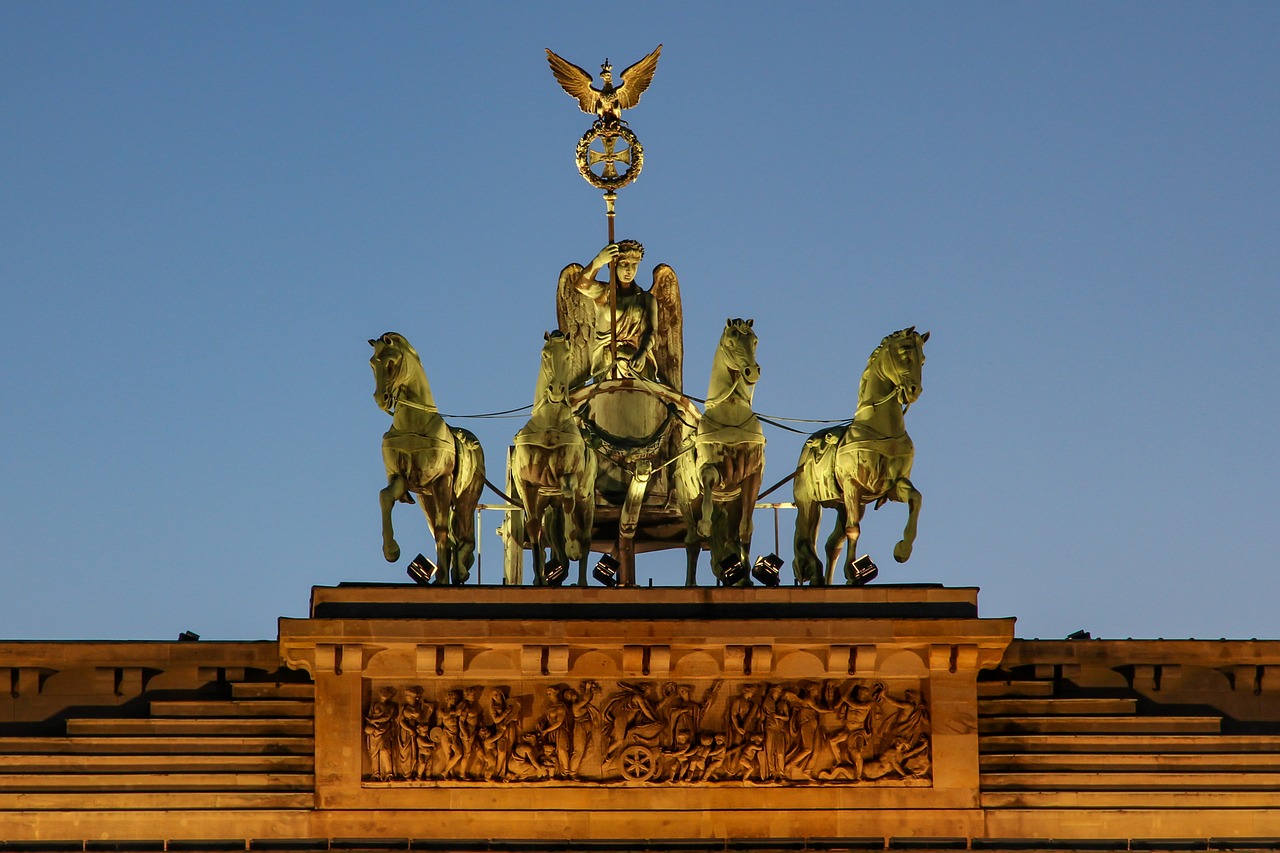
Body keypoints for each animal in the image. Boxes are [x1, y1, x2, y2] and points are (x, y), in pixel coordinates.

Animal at [373, 333, 488, 584]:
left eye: (391, 363)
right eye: (372, 363)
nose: (380, 399)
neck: (413, 424)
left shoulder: (442, 480)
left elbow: (443, 529)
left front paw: (443, 575)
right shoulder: (403, 479)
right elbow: (385, 497)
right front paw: (391, 551)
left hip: (466, 497)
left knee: (464, 534)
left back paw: (461, 569)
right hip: (426, 498)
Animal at [506, 330, 596, 584]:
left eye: (568, 355)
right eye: (545, 354)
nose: (556, 390)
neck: (549, 426)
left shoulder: (569, 476)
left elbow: (568, 491)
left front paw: (571, 543)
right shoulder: (528, 485)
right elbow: (534, 527)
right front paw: (539, 578)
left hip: (587, 500)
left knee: (585, 535)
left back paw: (581, 578)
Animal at [675, 318, 762, 584]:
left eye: (755, 340)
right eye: (731, 341)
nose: (752, 371)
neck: (732, 416)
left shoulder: (753, 475)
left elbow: (746, 530)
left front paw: (746, 577)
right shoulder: (711, 469)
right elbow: (708, 478)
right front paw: (705, 524)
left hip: (730, 508)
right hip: (687, 503)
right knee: (692, 542)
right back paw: (690, 583)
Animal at [788, 325, 931, 584]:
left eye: (923, 360)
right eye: (904, 351)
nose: (914, 391)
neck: (880, 427)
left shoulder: (891, 486)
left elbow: (916, 499)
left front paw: (902, 550)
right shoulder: (852, 484)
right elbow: (853, 530)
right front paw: (853, 570)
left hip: (845, 504)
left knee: (832, 544)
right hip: (809, 503)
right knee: (807, 539)